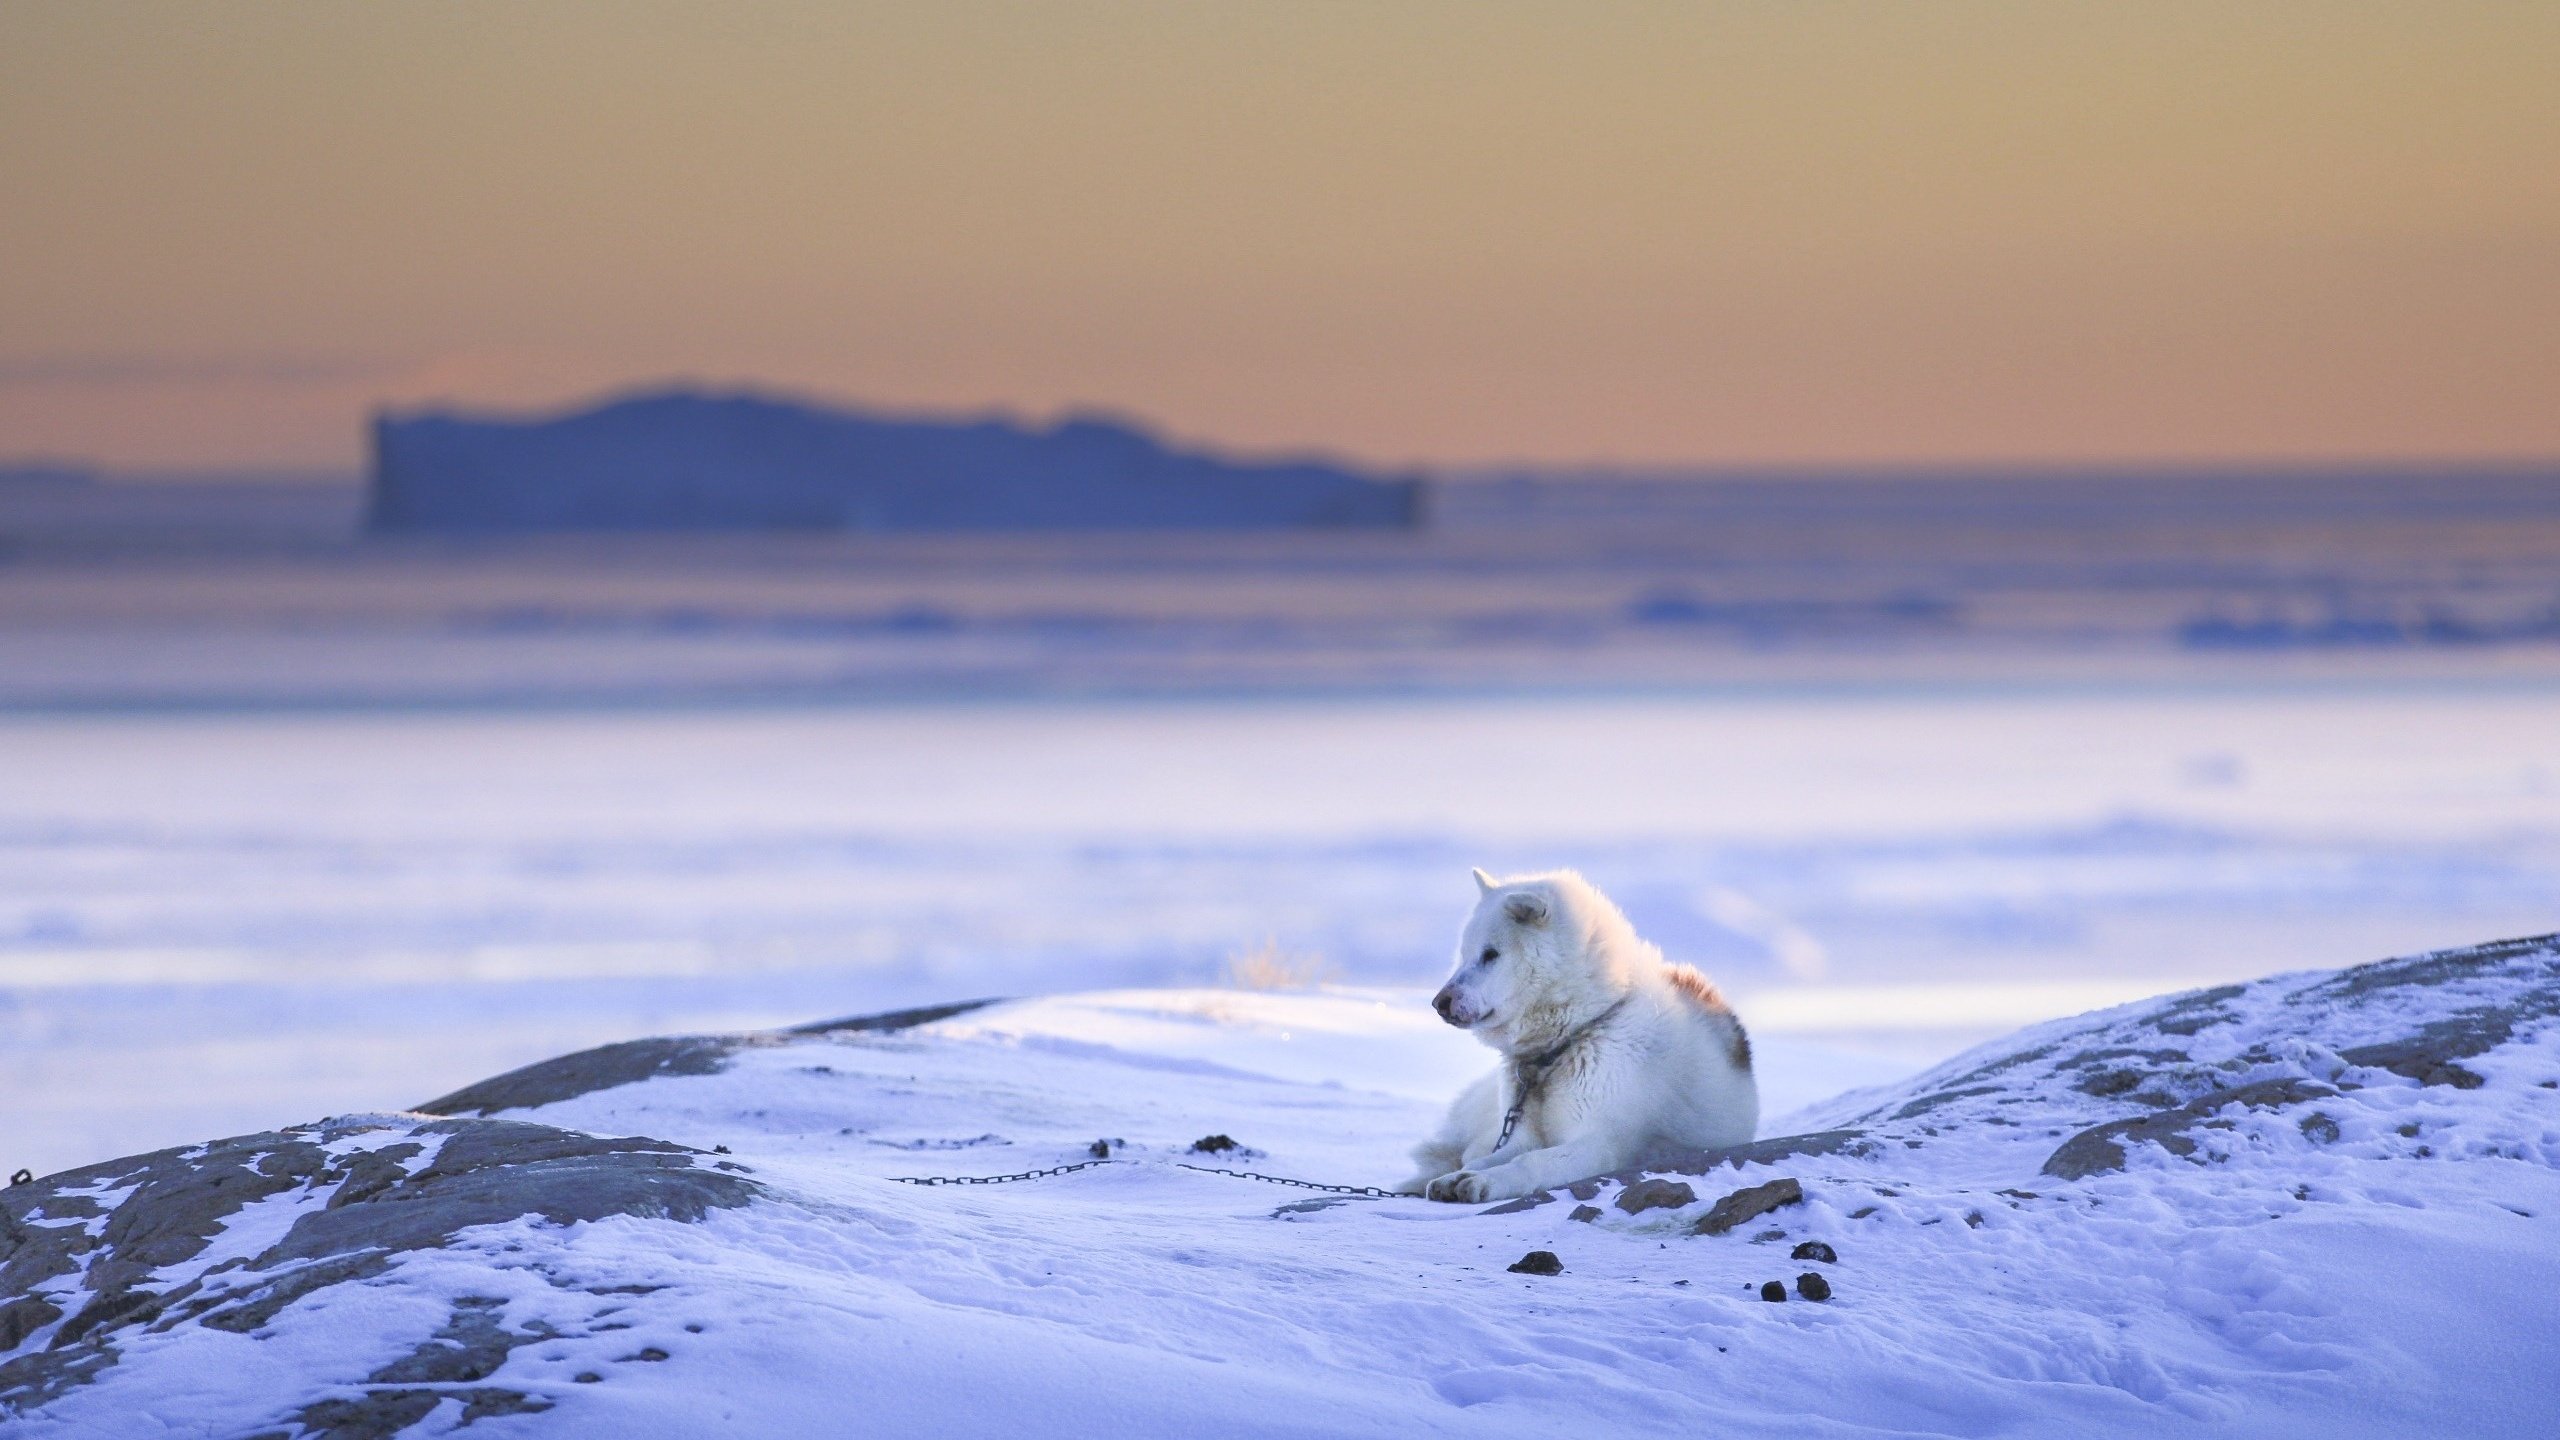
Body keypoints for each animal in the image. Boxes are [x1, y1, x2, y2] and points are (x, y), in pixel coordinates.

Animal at [1402, 860, 1761, 1199]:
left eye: (1491, 954)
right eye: (1464, 954)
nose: (1439, 1002)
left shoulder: (1597, 1144)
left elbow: (1528, 1162)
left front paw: (1487, 1181)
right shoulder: (1519, 1136)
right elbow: (1485, 1159)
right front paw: (1461, 1176)